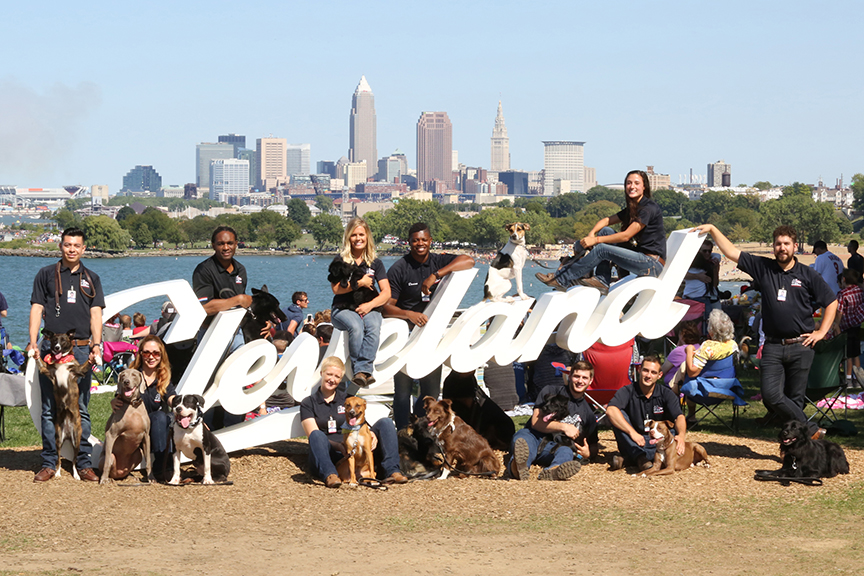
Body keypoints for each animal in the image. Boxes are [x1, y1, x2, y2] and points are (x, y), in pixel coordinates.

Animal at [35, 328, 92, 482]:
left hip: (77, 440)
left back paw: (77, 475)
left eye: (64, 341)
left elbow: (88, 364)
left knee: (74, 461)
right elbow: (40, 361)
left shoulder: (78, 371)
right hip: (58, 439)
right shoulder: (47, 371)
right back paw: (57, 472)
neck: (61, 362)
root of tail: (66, 433)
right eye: (55, 340)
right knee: (59, 460)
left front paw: (95, 357)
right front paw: (32, 352)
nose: (56, 348)